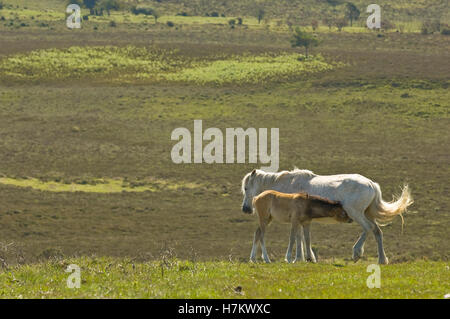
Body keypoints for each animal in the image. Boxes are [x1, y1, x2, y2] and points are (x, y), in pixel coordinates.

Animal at [241, 170, 414, 264]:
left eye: (246, 187)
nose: (245, 209)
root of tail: (372, 184)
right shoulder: (302, 220)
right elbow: (302, 237)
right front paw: (305, 257)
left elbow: (297, 237)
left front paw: (297, 258)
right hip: (367, 213)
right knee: (377, 232)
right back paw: (382, 260)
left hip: (356, 213)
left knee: (368, 228)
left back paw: (357, 252)